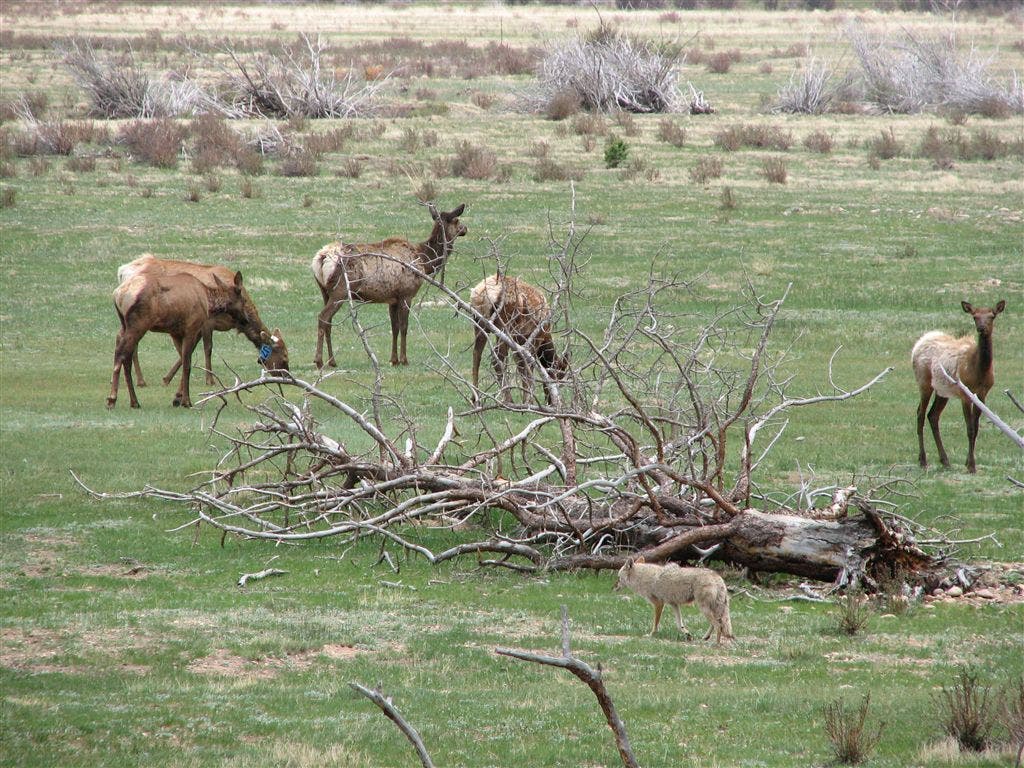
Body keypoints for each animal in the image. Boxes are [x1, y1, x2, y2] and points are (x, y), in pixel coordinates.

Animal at [108, 270, 254, 409]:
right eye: (244, 300)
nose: (246, 320)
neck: (208, 302)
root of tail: (118, 294)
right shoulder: (191, 328)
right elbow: (187, 364)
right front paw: (186, 401)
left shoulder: (176, 332)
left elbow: (183, 360)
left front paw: (177, 398)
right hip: (138, 323)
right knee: (121, 354)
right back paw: (112, 399)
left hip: (124, 325)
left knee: (124, 355)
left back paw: (134, 402)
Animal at [116, 254, 289, 386]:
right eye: (284, 357)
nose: (287, 377)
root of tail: (122, 271)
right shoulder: (207, 322)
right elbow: (208, 348)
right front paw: (210, 380)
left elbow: (189, 348)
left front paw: (167, 378)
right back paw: (140, 380)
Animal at [310, 203, 467, 368]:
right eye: (456, 220)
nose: (465, 228)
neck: (424, 261)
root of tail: (322, 257)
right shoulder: (406, 294)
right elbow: (404, 327)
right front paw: (404, 359)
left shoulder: (393, 299)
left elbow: (394, 328)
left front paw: (393, 359)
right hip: (340, 291)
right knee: (323, 317)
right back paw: (319, 360)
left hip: (324, 291)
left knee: (328, 321)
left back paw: (332, 361)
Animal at [469, 274, 568, 405]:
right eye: (558, 378)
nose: (551, 401)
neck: (546, 336)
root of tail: (482, 294)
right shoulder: (534, 337)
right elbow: (527, 365)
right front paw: (528, 400)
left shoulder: (520, 340)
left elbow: (521, 364)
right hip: (505, 324)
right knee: (497, 358)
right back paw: (508, 399)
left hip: (479, 322)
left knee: (477, 353)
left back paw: (475, 398)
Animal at [912, 300, 1005, 473]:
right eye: (975, 316)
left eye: (992, 316)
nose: (981, 328)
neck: (979, 371)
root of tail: (918, 343)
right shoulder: (965, 394)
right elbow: (969, 429)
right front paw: (971, 466)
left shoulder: (982, 394)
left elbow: (976, 428)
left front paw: (968, 462)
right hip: (924, 382)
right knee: (920, 414)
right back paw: (923, 460)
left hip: (942, 390)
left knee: (932, 415)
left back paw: (945, 460)